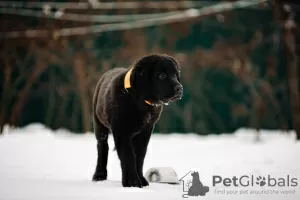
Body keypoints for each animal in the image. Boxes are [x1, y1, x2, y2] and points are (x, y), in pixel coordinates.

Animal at [92, 53, 183, 188]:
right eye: (161, 76)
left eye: (176, 75)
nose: (179, 88)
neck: (139, 99)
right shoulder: (121, 131)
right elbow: (128, 155)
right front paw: (132, 182)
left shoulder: (145, 131)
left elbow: (139, 156)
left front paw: (141, 180)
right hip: (99, 123)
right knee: (102, 148)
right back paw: (99, 175)